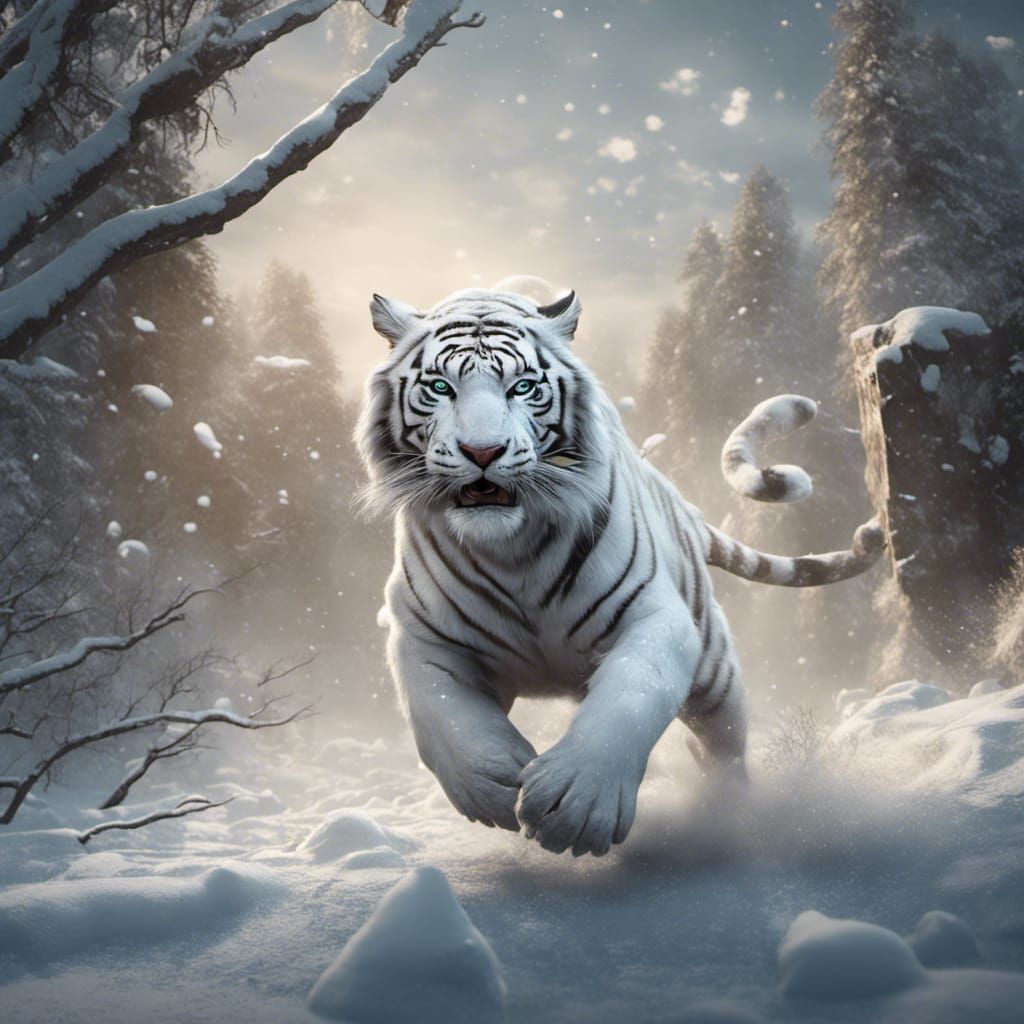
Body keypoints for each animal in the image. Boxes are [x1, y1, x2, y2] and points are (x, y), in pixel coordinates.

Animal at [356, 285, 883, 857]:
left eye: (522, 387)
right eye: (440, 387)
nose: (483, 450)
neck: (511, 549)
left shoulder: (655, 619)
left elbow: (629, 697)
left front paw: (576, 807)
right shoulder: (423, 637)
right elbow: (443, 716)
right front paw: (490, 785)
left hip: (714, 669)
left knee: (724, 745)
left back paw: (727, 810)